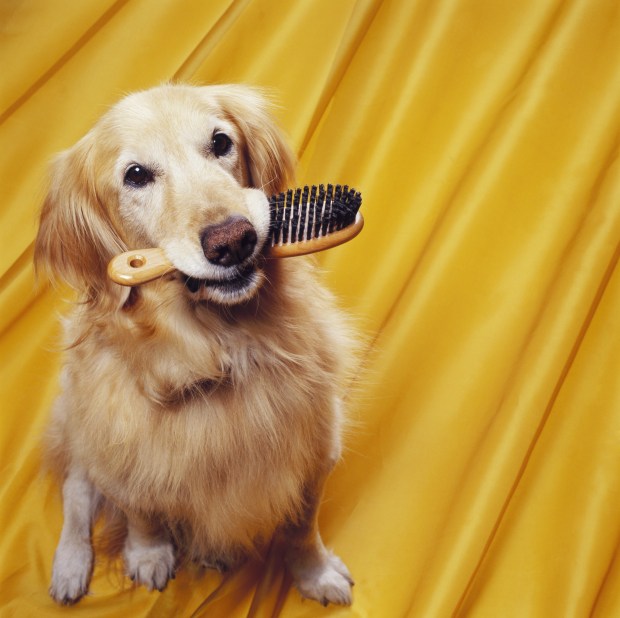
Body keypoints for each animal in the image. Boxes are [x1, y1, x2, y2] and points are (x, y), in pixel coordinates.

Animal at [35, 83, 354, 608]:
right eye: (136, 175)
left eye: (220, 142)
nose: (233, 240)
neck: (217, 350)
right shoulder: (122, 456)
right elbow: (140, 511)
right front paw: (148, 555)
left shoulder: (315, 449)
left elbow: (301, 527)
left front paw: (315, 573)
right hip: (78, 425)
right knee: (77, 493)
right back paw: (70, 565)